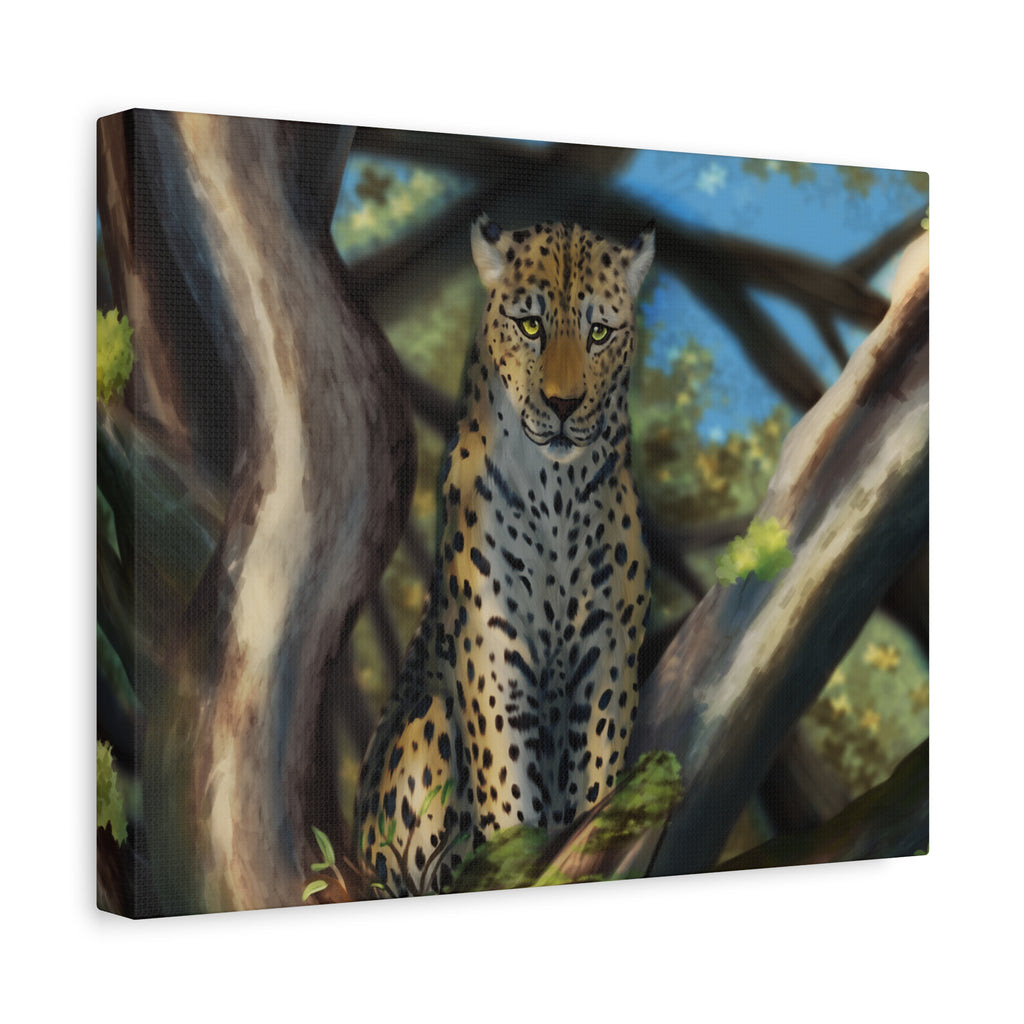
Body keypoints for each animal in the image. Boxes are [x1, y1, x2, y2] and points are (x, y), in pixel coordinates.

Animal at [355, 214, 655, 896]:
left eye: (600, 332)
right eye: (531, 326)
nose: (565, 405)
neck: (558, 491)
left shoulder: (608, 647)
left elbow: (597, 769)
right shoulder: (493, 649)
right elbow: (507, 782)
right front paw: (519, 857)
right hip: (425, 727)